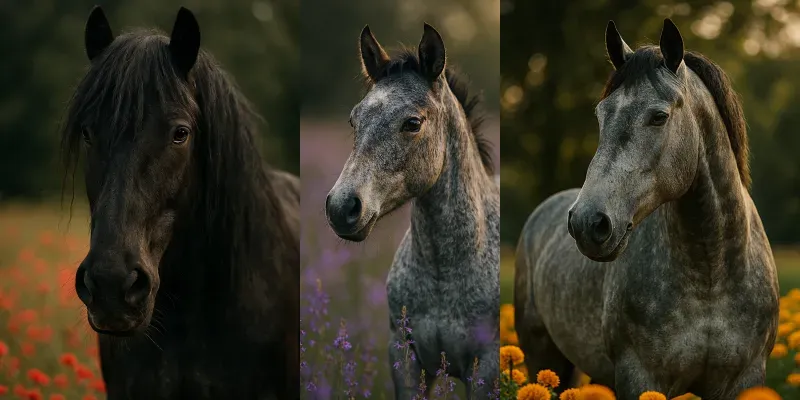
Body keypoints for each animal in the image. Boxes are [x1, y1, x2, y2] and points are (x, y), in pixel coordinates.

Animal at [514, 19, 779, 399]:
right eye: (601, 115)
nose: (587, 223)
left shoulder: (746, 377)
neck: (712, 274)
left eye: (659, 117)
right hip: (542, 357)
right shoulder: (639, 376)